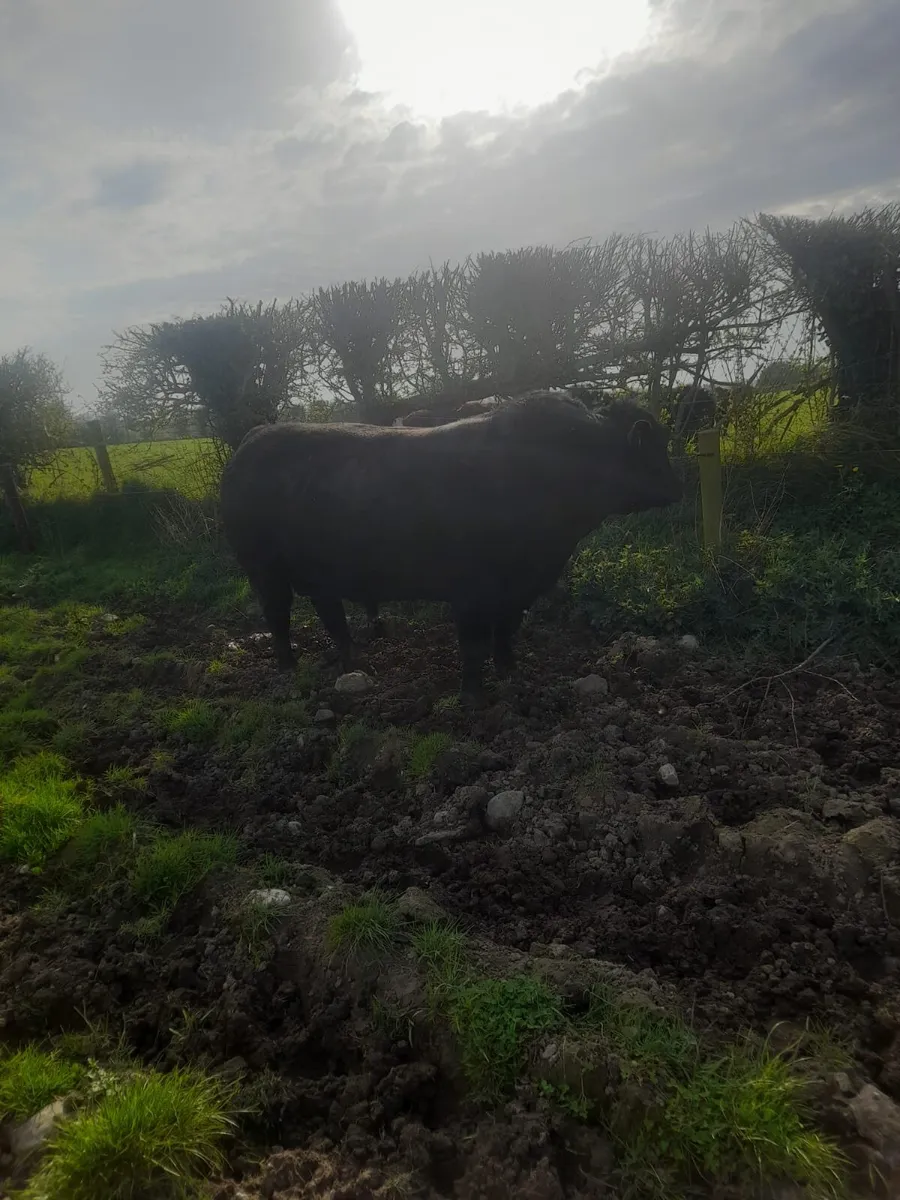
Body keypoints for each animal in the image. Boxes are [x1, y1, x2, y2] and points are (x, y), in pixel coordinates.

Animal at [219, 389, 683, 701]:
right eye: (653, 450)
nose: (675, 489)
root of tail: (250, 442)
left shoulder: (520, 588)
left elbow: (506, 631)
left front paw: (511, 672)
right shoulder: (470, 590)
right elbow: (473, 643)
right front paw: (473, 696)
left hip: (318, 572)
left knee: (330, 612)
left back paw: (354, 660)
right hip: (263, 569)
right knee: (278, 616)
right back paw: (289, 667)